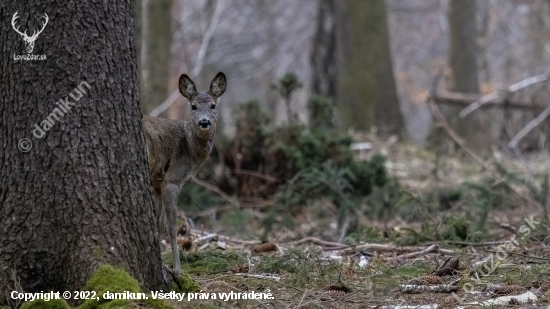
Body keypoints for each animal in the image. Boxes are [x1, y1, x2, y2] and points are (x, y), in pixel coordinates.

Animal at [144, 71, 229, 272]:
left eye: (213, 105)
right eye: (193, 106)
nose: (204, 122)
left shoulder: (157, 182)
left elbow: (158, 224)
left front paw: (163, 263)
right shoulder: (172, 180)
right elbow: (171, 226)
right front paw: (177, 269)